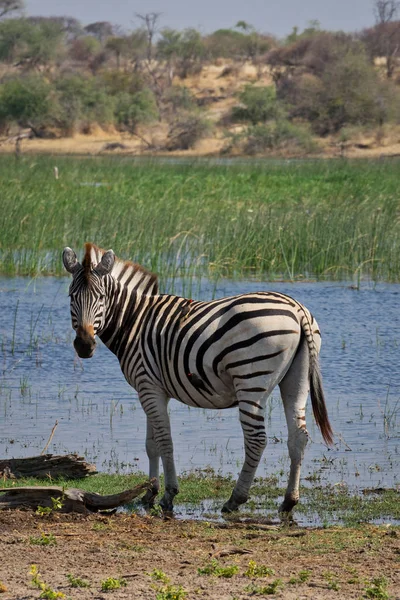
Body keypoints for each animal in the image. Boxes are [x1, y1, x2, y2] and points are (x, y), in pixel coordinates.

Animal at [61, 241, 332, 512]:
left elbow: (164, 441)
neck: (133, 321)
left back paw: (235, 499)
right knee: (298, 437)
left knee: (256, 439)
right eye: (71, 297)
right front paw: (149, 492)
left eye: (101, 298)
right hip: (296, 379)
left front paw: (168, 494)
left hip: (251, 378)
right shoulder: (151, 388)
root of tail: (297, 309)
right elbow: (151, 445)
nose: (84, 346)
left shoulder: (148, 385)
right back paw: (289, 500)